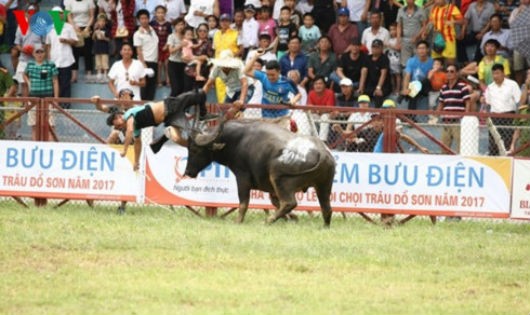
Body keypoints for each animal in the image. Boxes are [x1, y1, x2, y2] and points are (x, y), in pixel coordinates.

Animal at [184, 119, 334, 227]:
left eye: (195, 149)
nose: (188, 172)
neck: (237, 140)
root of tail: (322, 153)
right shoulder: (271, 189)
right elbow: (274, 202)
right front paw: (293, 218)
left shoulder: (242, 177)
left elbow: (243, 202)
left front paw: (238, 221)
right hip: (323, 186)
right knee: (327, 209)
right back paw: (324, 226)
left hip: (279, 178)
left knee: (289, 203)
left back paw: (268, 221)